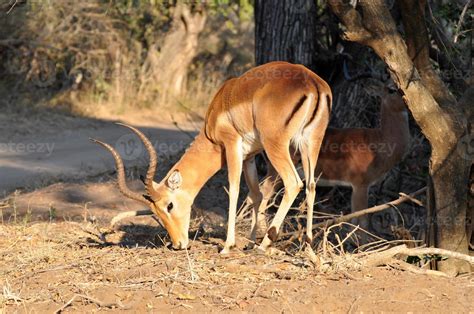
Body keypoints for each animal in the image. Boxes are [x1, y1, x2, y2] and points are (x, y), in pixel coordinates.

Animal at [90, 61, 332, 253]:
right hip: (310, 143)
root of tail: (311, 82)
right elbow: (256, 193)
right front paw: (249, 241)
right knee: (311, 185)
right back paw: (308, 244)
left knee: (293, 183)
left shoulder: (232, 145)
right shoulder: (250, 155)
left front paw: (228, 246)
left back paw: (266, 244)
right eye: (155, 212)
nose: (178, 244)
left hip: (277, 145)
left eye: (169, 205)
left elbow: (234, 190)